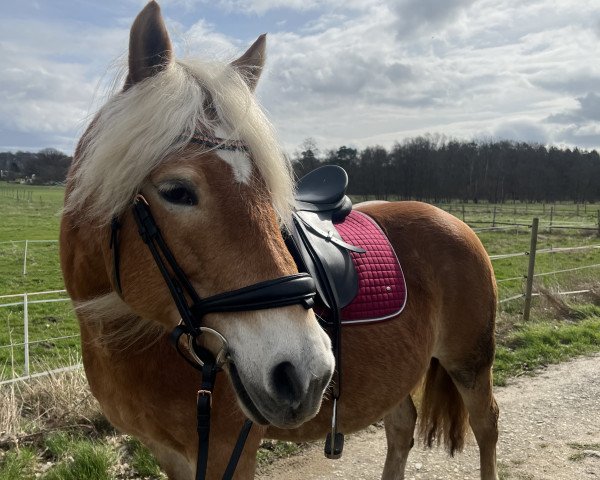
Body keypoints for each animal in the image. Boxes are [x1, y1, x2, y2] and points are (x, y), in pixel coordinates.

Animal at [61, 1, 500, 478]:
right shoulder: (168, 453)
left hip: (469, 362)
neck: (126, 340)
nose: (306, 373)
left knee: (486, 425)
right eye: (176, 191)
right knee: (402, 428)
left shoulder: (227, 452)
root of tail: (452, 220)